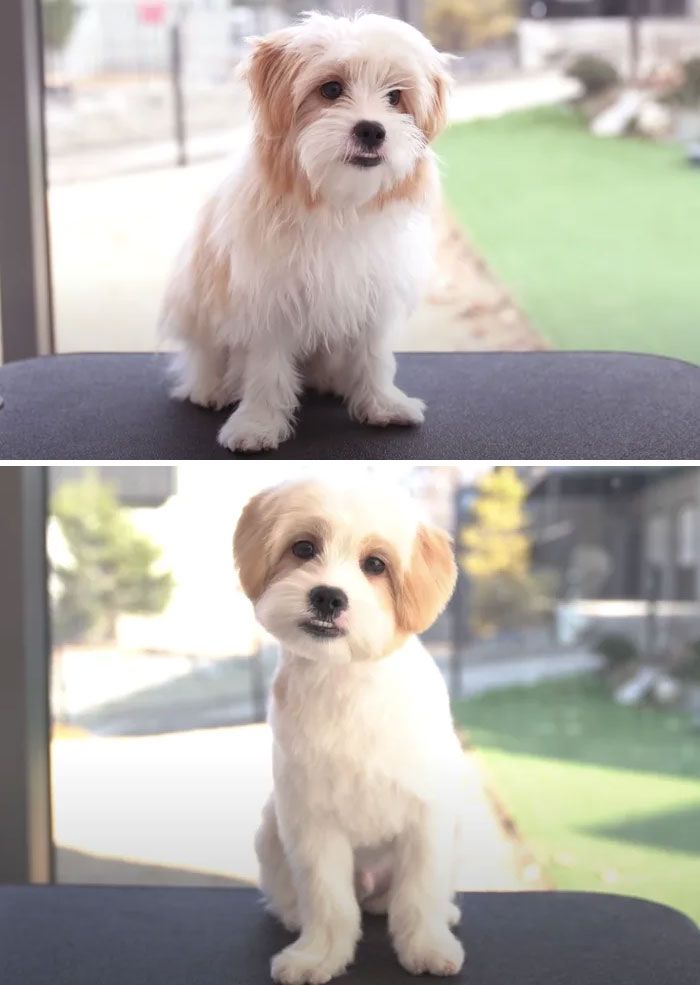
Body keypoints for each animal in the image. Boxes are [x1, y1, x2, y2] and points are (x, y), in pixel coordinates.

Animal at [159, 13, 452, 452]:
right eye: (331, 89)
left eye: (395, 97)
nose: (372, 130)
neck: (337, 205)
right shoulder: (267, 300)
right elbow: (265, 369)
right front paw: (258, 424)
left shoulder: (374, 291)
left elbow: (374, 355)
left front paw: (382, 404)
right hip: (196, 301)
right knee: (204, 354)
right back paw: (211, 387)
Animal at [232, 480, 468, 980]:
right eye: (303, 548)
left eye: (375, 564)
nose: (328, 596)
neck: (347, 681)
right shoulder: (312, 825)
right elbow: (329, 902)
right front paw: (319, 954)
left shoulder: (428, 817)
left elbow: (420, 894)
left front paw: (427, 946)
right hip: (271, 831)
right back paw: (294, 915)